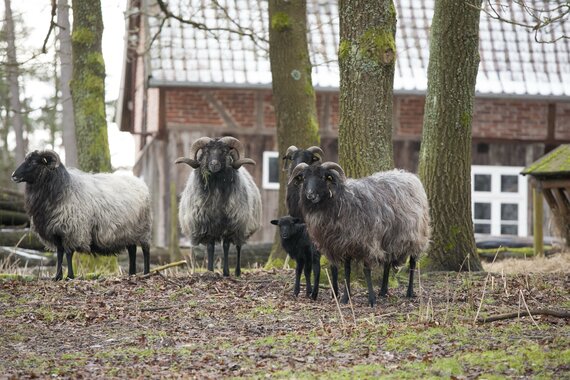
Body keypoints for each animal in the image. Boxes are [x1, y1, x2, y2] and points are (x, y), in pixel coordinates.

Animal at [12, 150, 152, 280]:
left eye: (33, 162)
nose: (13, 176)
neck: (62, 188)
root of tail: (141, 183)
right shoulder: (56, 231)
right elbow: (59, 253)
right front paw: (58, 276)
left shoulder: (72, 229)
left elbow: (68, 253)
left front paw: (70, 276)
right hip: (129, 230)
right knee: (132, 249)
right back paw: (132, 273)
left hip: (143, 227)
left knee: (145, 249)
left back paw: (146, 273)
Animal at [176, 137, 260, 276]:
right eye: (206, 151)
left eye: (224, 151)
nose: (214, 164)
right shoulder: (207, 224)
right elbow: (210, 248)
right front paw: (210, 270)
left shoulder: (230, 225)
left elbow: (226, 246)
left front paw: (226, 272)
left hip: (242, 226)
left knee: (238, 246)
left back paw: (237, 272)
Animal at [290, 162, 428, 308]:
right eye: (304, 178)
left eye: (322, 177)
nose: (310, 195)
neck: (341, 201)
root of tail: (407, 174)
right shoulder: (344, 244)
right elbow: (347, 270)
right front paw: (346, 298)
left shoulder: (367, 243)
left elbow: (366, 270)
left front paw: (371, 300)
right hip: (389, 238)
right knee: (387, 262)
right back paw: (383, 291)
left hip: (417, 234)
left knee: (412, 262)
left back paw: (409, 292)